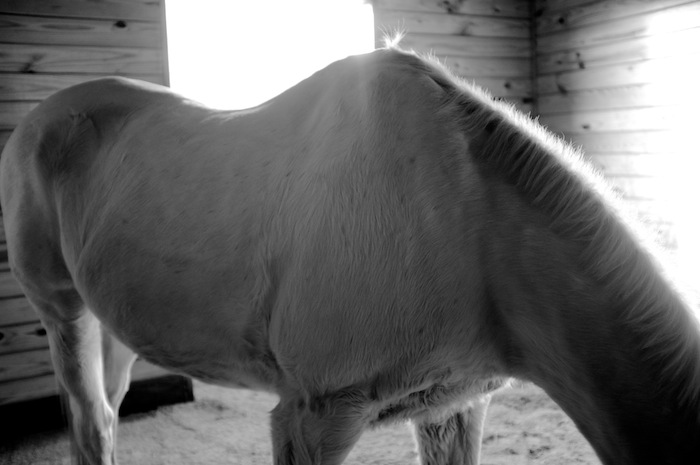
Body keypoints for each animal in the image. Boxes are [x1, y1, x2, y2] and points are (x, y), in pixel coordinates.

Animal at [1, 47, 699, 465]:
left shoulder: (454, 404)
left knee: (104, 413)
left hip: (114, 325)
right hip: (64, 314)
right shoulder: (316, 415)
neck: (460, 218)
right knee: (89, 422)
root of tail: (39, 120)